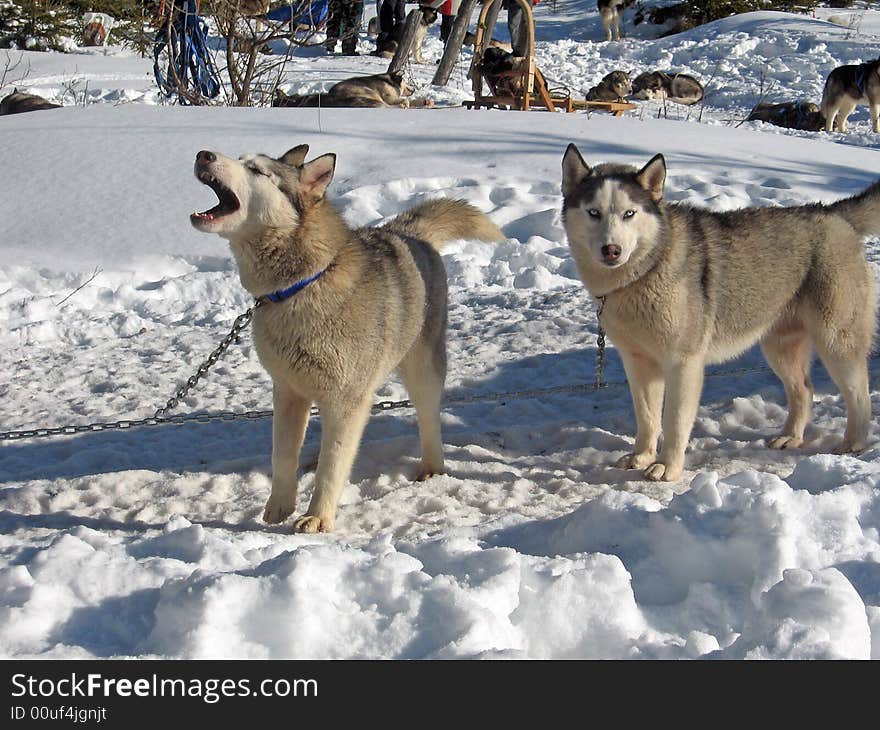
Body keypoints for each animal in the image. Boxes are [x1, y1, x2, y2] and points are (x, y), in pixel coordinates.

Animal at [189, 144, 506, 528]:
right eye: (240, 159)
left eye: (257, 171)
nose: (203, 154)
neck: (301, 285)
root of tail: (408, 232)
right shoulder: (288, 392)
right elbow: (283, 456)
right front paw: (279, 506)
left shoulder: (346, 401)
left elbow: (333, 465)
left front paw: (317, 517)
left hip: (423, 371)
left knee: (428, 419)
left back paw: (432, 466)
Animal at [560, 144, 876, 480]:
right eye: (594, 212)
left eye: (629, 213)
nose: (612, 250)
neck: (647, 269)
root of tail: (832, 213)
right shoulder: (639, 363)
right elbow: (647, 417)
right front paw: (642, 456)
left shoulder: (683, 364)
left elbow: (673, 422)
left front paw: (667, 466)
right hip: (779, 348)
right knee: (803, 389)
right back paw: (792, 436)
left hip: (836, 343)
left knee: (860, 395)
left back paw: (853, 443)